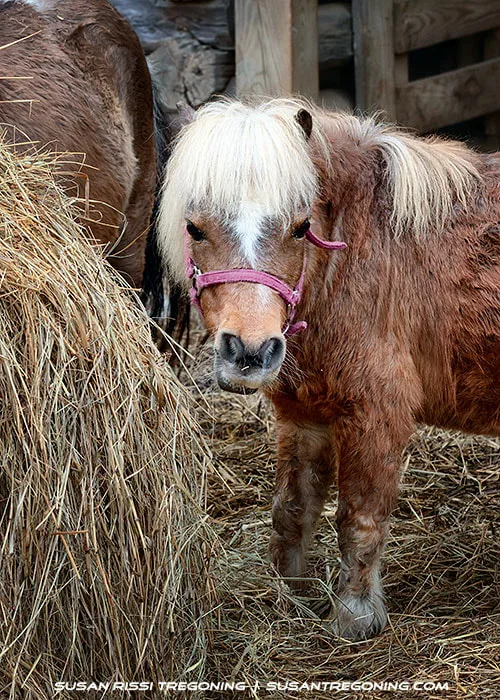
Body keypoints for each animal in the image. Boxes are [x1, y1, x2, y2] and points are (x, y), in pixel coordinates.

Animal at [157, 97, 500, 640]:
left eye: (301, 227)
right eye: (195, 228)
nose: (250, 352)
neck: (355, 259)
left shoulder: (376, 415)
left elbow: (359, 519)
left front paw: (354, 616)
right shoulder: (304, 416)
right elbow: (292, 511)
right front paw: (287, 595)